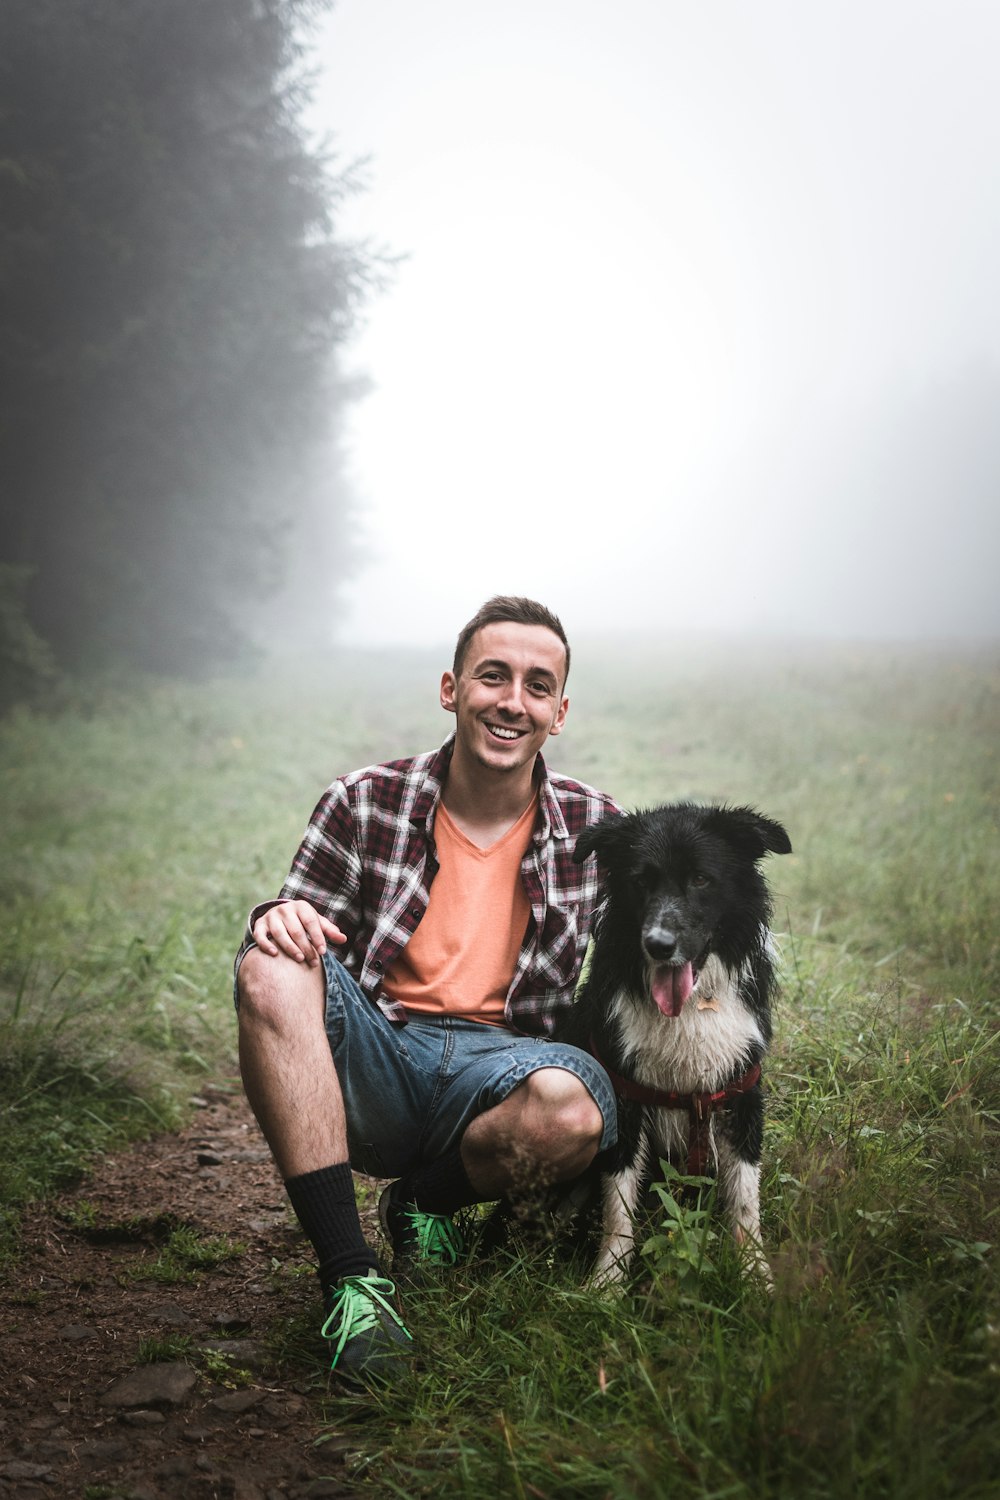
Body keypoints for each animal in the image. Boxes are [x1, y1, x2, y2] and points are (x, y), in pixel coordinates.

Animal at [560, 804, 791, 1284]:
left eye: (701, 879)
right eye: (641, 881)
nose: (659, 945)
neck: (691, 1008)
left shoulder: (741, 1092)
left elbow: (745, 1201)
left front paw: (756, 1278)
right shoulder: (624, 1096)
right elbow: (618, 1208)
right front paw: (606, 1285)